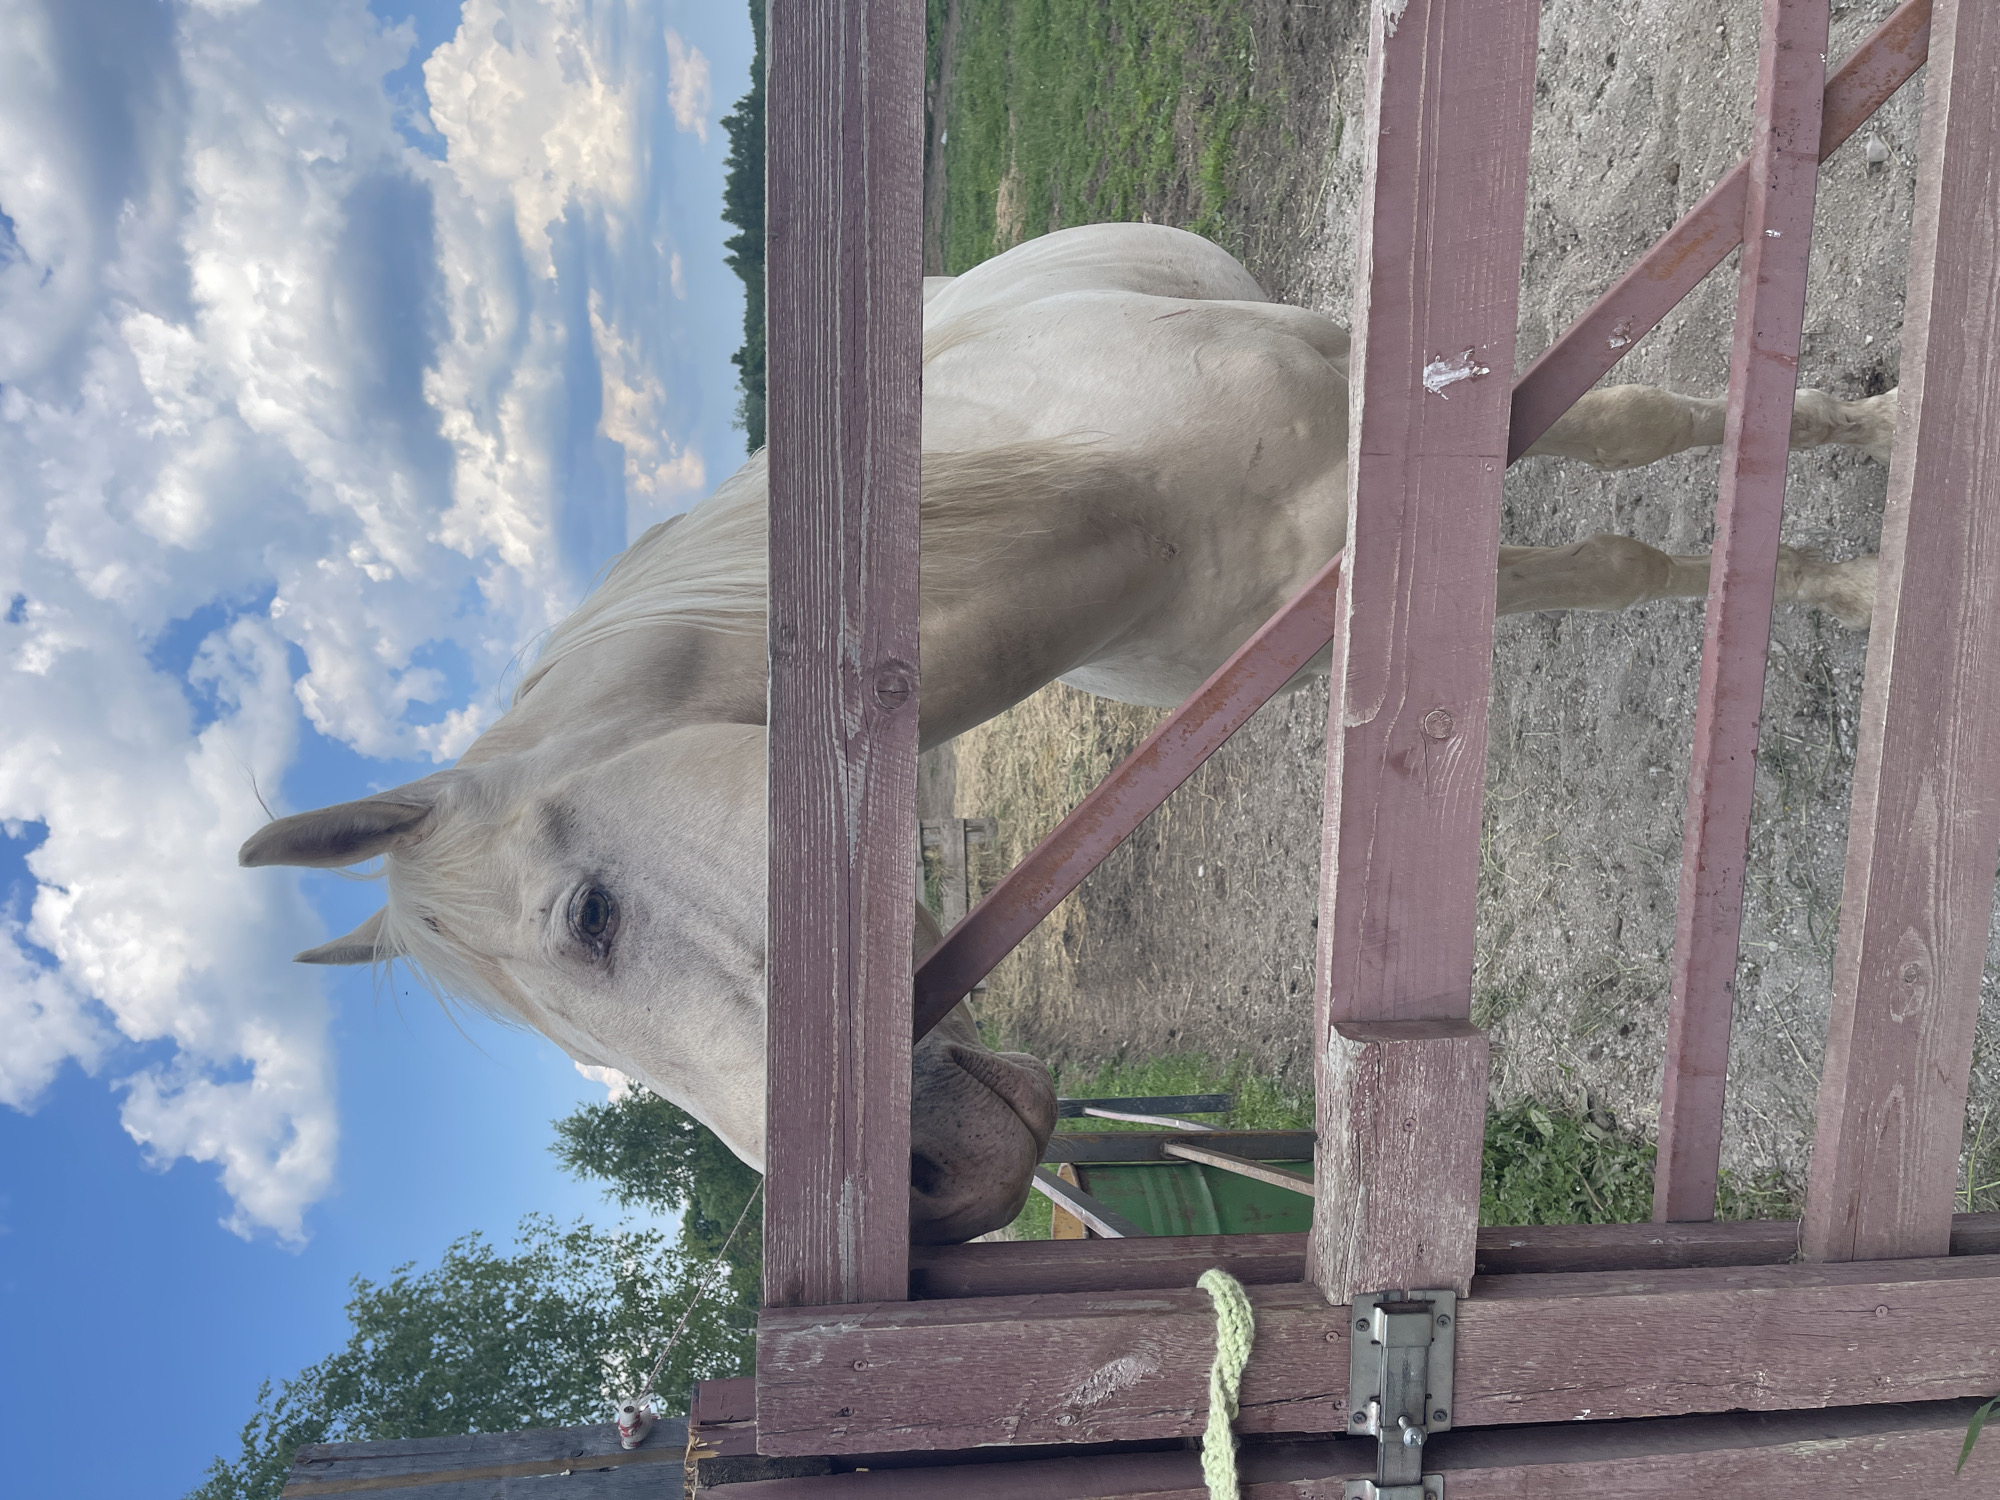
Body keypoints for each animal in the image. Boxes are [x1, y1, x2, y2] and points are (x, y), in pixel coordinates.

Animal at [239, 222, 1892, 1243]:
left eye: (589, 917)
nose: (934, 1186)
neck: (1123, 498)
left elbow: (1643, 467)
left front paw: (1861, 512)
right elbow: (1617, 549)